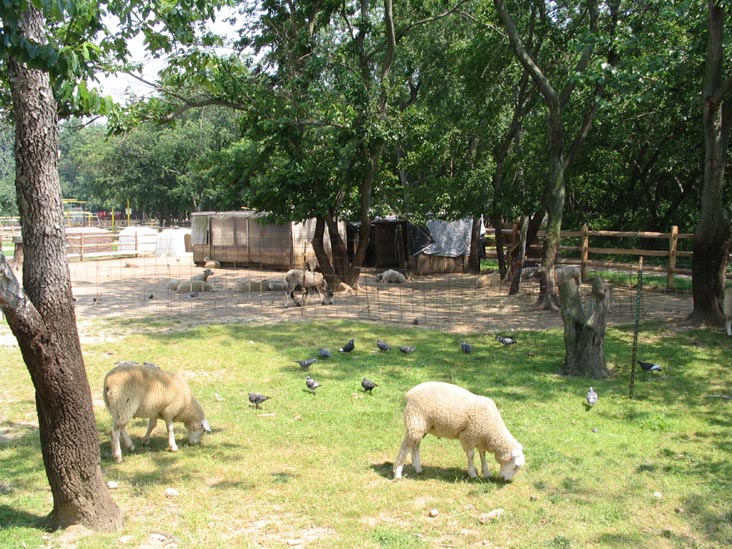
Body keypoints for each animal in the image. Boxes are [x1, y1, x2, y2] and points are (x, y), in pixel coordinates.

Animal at [393, 381, 525, 481]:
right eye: (515, 466)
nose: (507, 481)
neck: (493, 430)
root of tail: (409, 393)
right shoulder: (468, 436)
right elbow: (471, 455)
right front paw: (472, 473)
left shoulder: (480, 438)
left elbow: (483, 455)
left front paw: (486, 472)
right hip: (415, 422)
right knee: (405, 447)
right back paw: (397, 473)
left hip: (422, 426)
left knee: (415, 445)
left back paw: (418, 468)